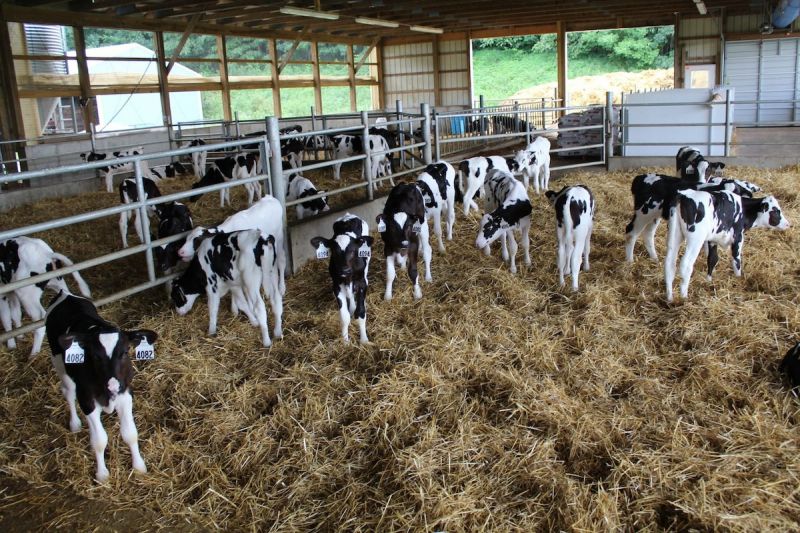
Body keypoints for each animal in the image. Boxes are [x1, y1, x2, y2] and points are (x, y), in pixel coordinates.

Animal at [45, 290, 155, 482]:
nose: (113, 385)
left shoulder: (125, 395)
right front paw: (102, 474)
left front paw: (139, 466)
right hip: (59, 364)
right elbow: (100, 441)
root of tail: (65, 294)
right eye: (95, 356)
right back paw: (75, 423)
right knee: (68, 392)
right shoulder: (87, 400)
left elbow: (130, 433)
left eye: (125, 351)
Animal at [310, 214, 373, 343]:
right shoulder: (337, 285)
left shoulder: (362, 283)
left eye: (353, 250)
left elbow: (361, 313)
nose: (344, 270)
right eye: (334, 251)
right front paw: (345, 342)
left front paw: (364, 340)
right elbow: (344, 317)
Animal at [625, 173, 760, 263]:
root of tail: (641, 177)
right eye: (721, 191)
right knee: (631, 232)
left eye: (737, 192)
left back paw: (655, 258)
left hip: (655, 215)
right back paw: (630, 261)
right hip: (643, 212)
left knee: (648, 234)